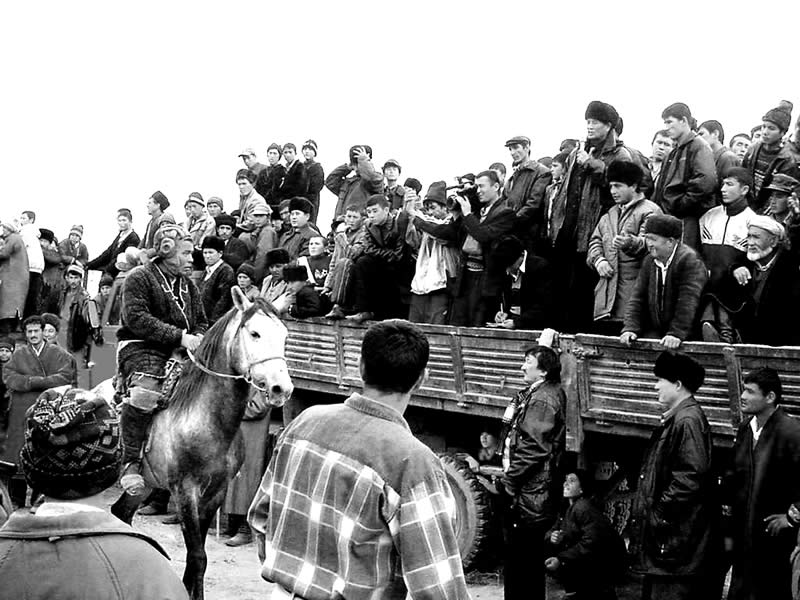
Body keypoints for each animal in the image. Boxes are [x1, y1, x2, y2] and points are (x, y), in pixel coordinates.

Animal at [108, 288, 292, 596]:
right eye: (254, 333)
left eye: (285, 335)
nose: (282, 388)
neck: (204, 418)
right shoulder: (185, 492)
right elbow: (198, 557)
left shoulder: (215, 493)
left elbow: (196, 561)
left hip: (145, 484)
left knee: (120, 514)